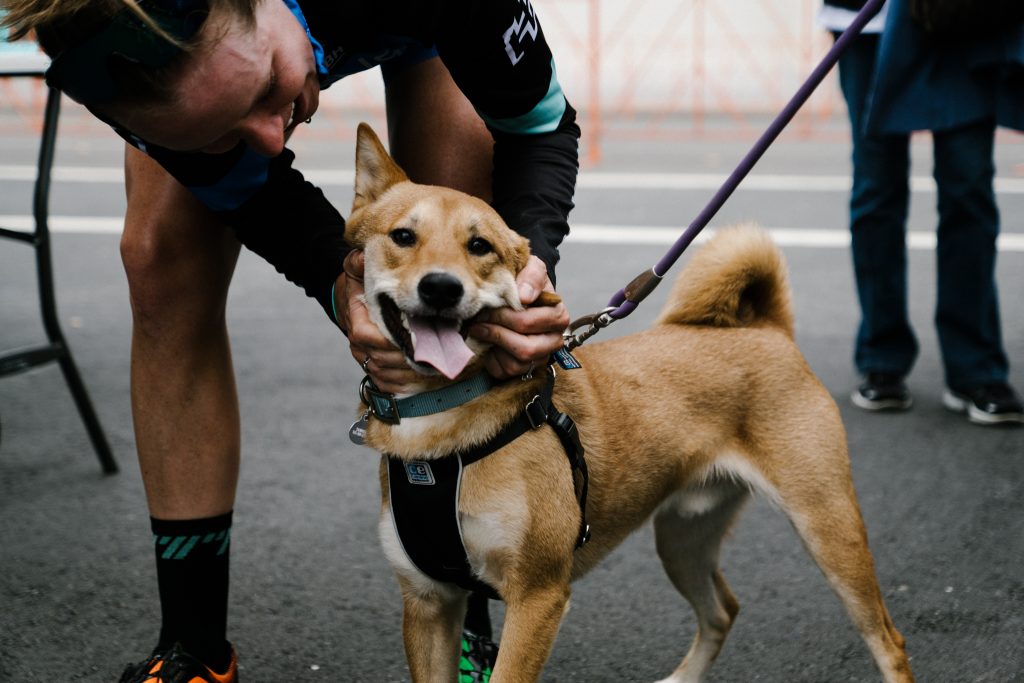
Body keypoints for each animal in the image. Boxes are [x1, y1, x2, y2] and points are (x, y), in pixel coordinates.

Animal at [348, 124, 917, 683]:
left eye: (479, 246)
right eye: (403, 236)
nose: (441, 287)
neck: (440, 424)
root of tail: (768, 329)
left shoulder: (537, 597)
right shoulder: (427, 603)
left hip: (829, 528)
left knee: (889, 641)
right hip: (683, 537)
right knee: (722, 610)